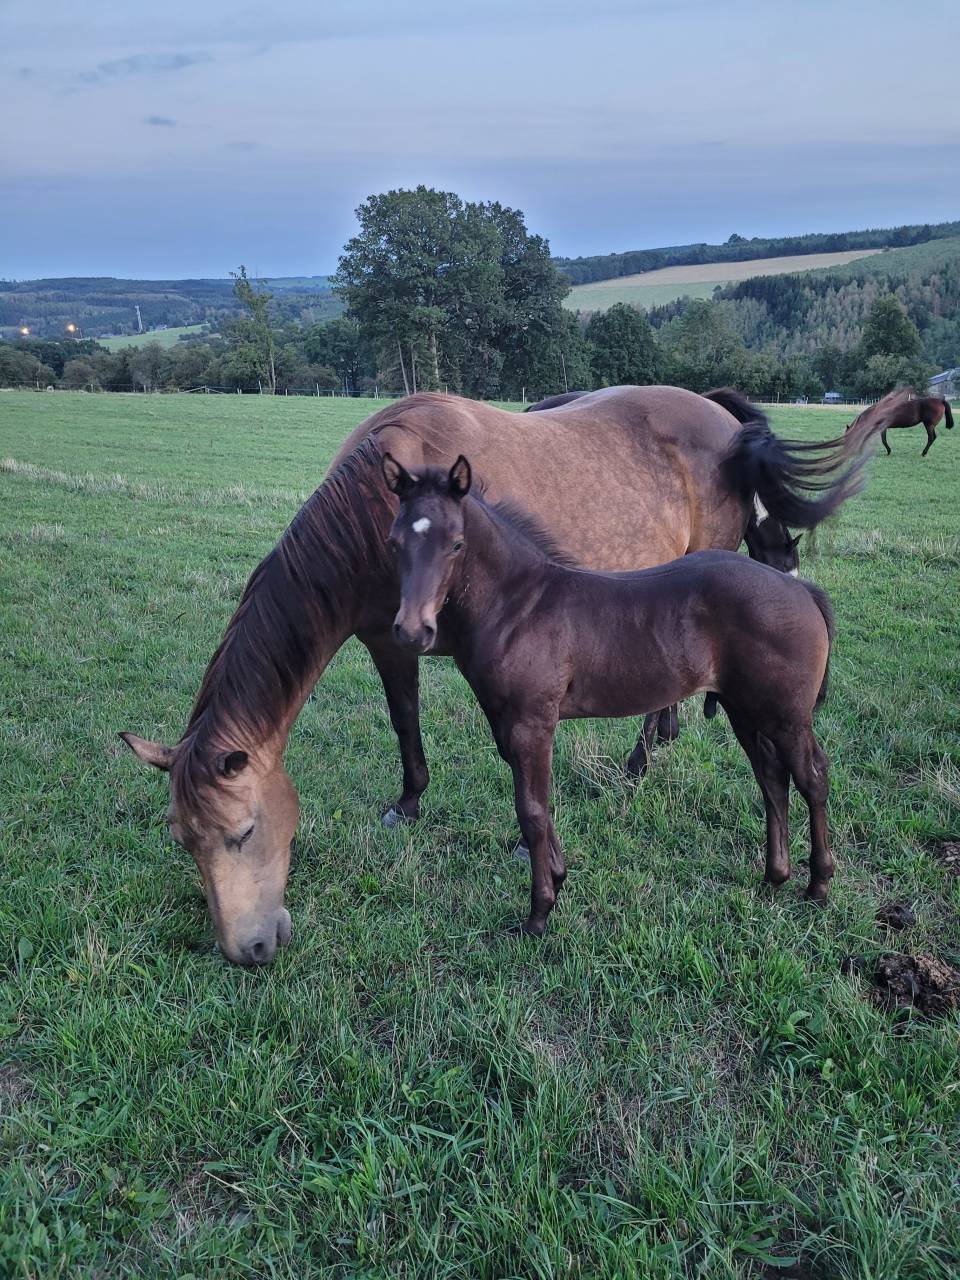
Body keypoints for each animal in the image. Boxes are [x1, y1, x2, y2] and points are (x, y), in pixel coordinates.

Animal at [382, 453, 835, 936]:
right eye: (394, 542)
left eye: (456, 544)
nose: (412, 631)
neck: (517, 606)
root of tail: (801, 589)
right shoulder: (504, 722)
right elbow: (538, 806)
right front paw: (559, 878)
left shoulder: (532, 724)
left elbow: (531, 811)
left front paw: (539, 913)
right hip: (744, 710)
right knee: (772, 777)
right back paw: (774, 877)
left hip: (786, 717)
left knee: (812, 778)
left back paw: (818, 885)